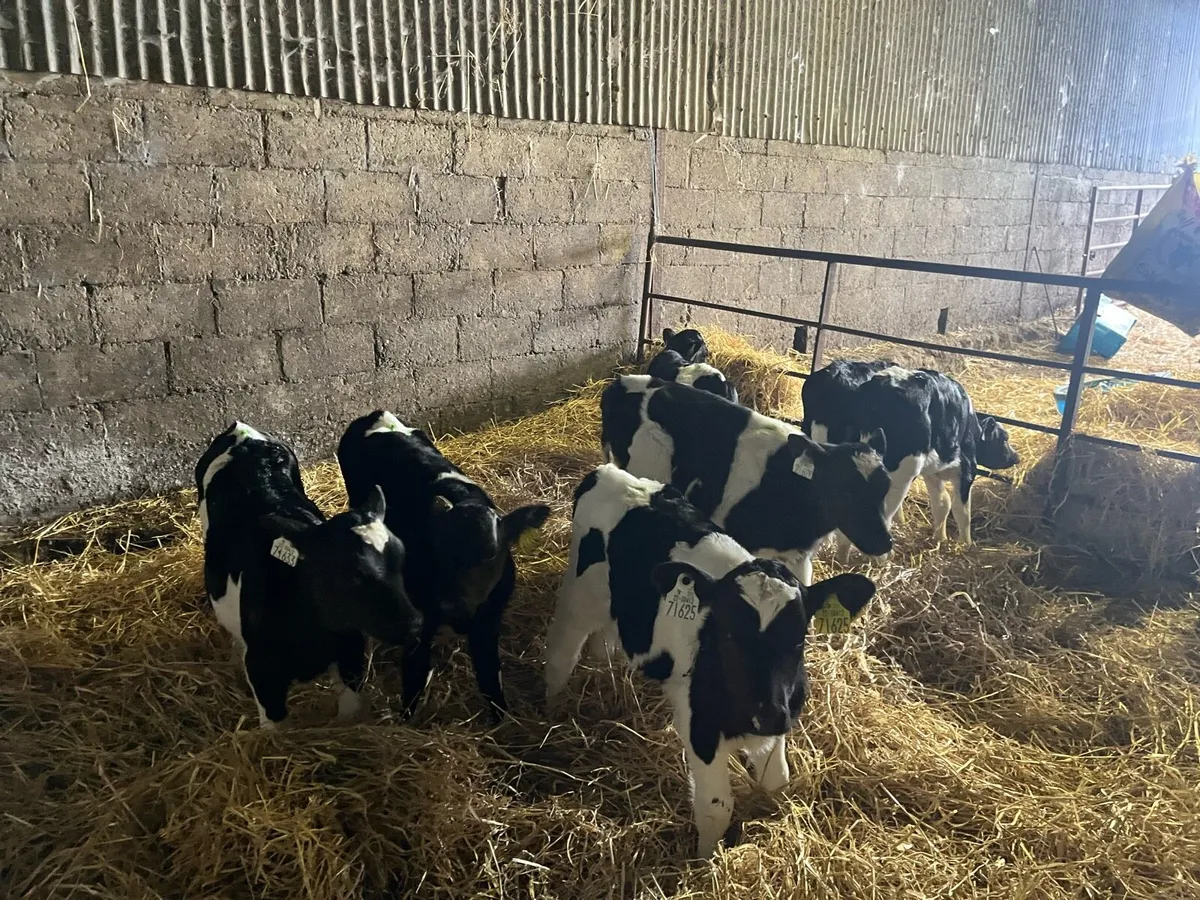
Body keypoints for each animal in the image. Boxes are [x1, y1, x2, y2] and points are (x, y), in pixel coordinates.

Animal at [196, 421, 422, 729]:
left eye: (401, 560)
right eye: (351, 575)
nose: (414, 625)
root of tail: (241, 431)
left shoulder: (350, 651)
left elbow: (350, 710)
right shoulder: (262, 670)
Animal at [337, 410, 551, 720]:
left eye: (490, 554)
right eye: (435, 548)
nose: (452, 605)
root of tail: (375, 415)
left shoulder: (487, 621)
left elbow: (490, 678)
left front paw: (503, 723)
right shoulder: (421, 623)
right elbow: (414, 677)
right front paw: (404, 724)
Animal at [545, 463, 876, 857]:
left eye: (799, 639)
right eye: (729, 634)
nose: (765, 714)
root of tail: (610, 472)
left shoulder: (782, 717)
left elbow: (777, 781)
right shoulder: (700, 727)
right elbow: (716, 807)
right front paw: (704, 861)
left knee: (604, 643)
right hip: (579, 598)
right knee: (561, 655)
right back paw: (546, 711)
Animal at [806, 364, 1019, 559]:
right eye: (1004, 438)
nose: (1016, 457)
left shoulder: (932, 471)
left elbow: (942, 503)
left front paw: (940, 539)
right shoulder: (967, 467)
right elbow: (961, 510)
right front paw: (965, 544)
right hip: (899, 471)